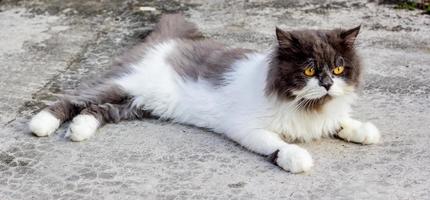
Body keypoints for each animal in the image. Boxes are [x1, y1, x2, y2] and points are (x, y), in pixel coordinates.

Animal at [29, 14, 380, 173]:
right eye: (308, 71)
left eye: (338, 68)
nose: (327, 83)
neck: (308, 105)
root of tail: (165, 40)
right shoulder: (247, 128)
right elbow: (278, 145)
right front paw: (297, 158)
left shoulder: (323, 115)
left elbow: (341, 121)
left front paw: (364, 130)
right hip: (123, 85)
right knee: (73, 100)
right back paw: (41, 124)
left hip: (135, 105)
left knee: (95, 111)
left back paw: (79, 130)